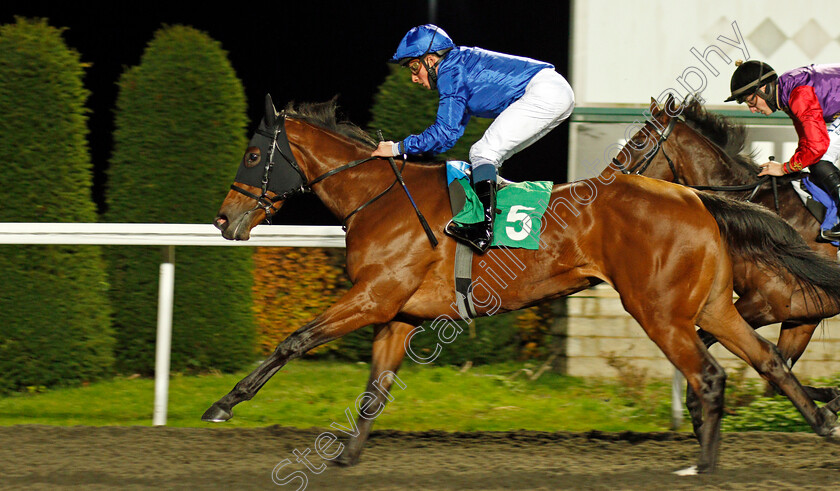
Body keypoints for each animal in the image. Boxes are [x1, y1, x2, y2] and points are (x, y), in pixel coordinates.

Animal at [608, 94, 840, 414]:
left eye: (640, 140)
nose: (607, 177)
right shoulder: (801, 316)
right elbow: (779, 374)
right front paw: (829, 399)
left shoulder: (768, 302)